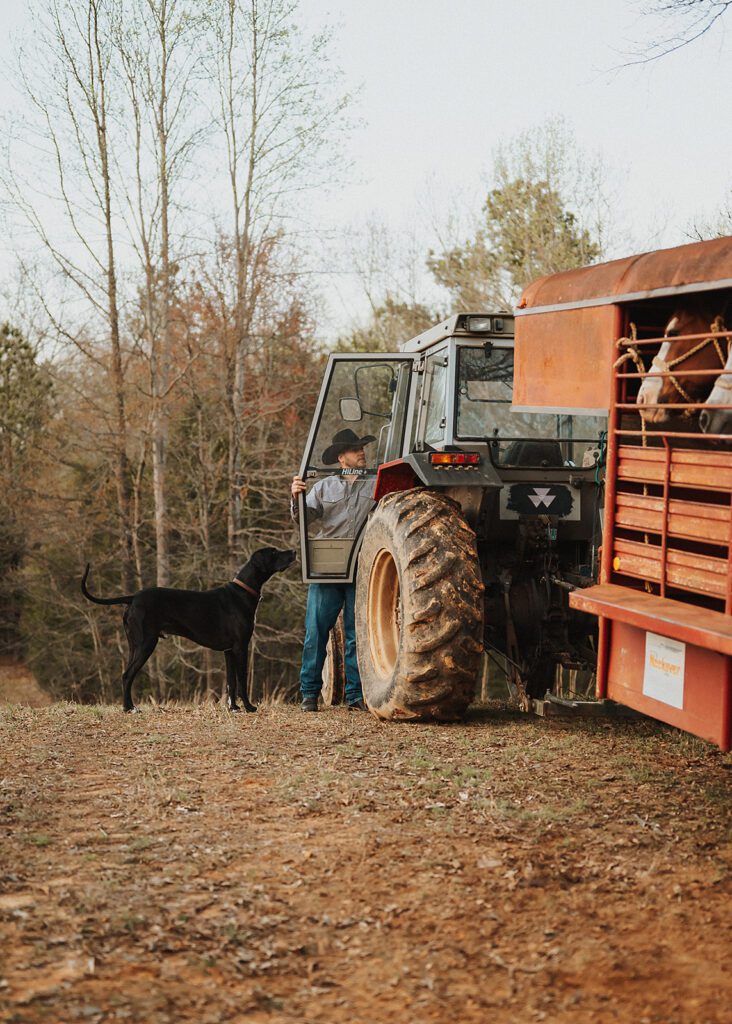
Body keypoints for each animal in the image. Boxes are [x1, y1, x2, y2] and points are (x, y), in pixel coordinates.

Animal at [81, 548, 296, 716]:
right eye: (274, 552)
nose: (294, 551)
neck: (242, 591)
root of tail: (133, 597)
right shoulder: (241, 647)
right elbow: (242, 680)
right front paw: (249, 707)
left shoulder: (228, 651)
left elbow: (231, 682)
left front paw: (233, 708)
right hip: (146, 644)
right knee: (127, 675)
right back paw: (130, 708)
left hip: (134, 645)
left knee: (126, 674)